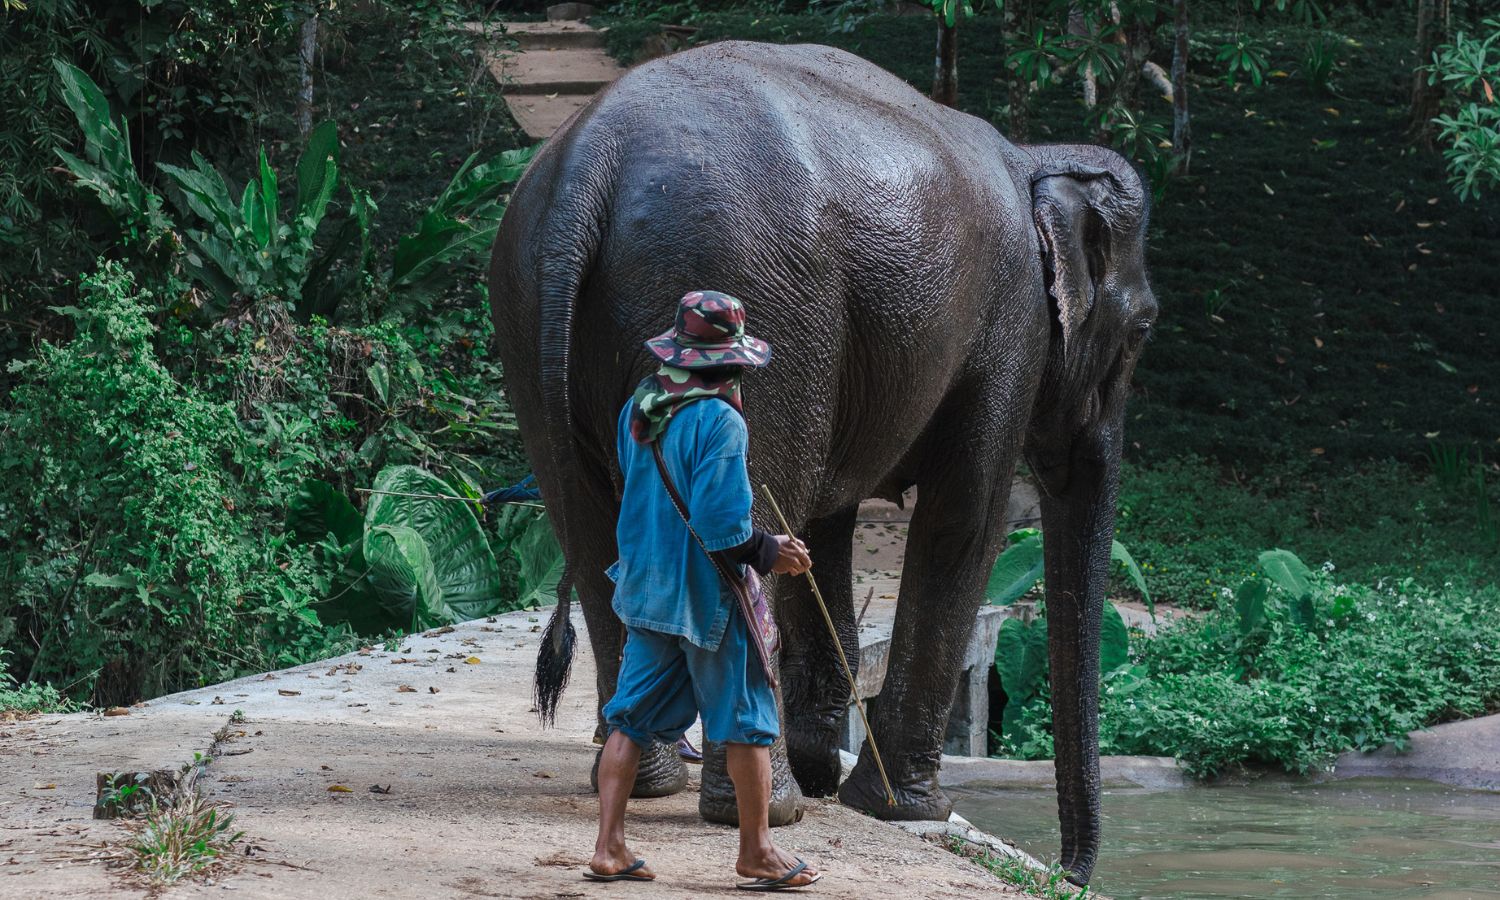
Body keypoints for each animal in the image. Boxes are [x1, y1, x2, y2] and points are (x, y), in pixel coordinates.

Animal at [492, 42, 1158, 888]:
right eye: (1143, 331)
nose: (1070, 872)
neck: (1035, 155)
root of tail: (588, 161)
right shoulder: (1010, 328)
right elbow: (962, 518)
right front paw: (905, 807)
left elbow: (824, 528)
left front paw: (826, 774)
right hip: (748, 289)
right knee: (739, 518)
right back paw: (769, 811)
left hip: (528, 314)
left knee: (590, 530)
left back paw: (653, 783)